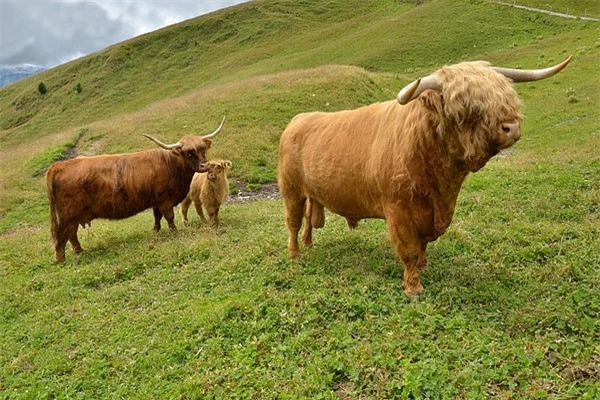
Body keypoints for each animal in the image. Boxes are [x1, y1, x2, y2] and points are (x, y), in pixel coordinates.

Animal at [46, 115, 225, 262]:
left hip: (73, 217)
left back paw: (80, 251)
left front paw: (155, 231)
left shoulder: (156, 201)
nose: (205, 165)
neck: (172, 165)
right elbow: (170, 217)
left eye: (203, 148)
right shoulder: (165, 200)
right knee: (62, 237)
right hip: (67, 216)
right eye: (188, 152)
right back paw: (62, 259)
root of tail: (58, 165)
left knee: (72, 234)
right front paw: (174, 232)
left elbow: (157, 217)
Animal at [278, 58, 568, 296]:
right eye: (465, 109)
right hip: (290, 189)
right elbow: (408, 249)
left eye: (505, 97)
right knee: (293, 221)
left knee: (308, 218)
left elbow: (424, 244)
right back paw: (294, 253)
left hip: (311, 192)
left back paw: (309, 244)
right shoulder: (398, 210)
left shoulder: (434, 213)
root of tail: (297, 120)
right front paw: (413, 287)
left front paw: (424, 265)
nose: (511, 127)